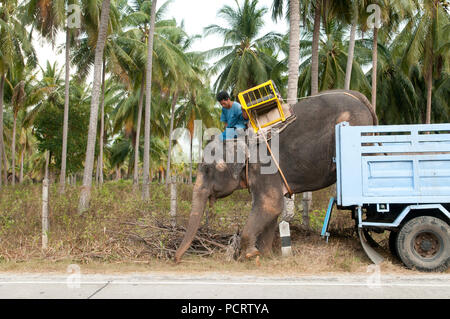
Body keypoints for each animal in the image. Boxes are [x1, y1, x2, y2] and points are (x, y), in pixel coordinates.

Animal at [174, 89, 378, 262]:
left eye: (208, 169)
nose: (175, 260)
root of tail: (361, 97)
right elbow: (274, 211)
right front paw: (266, 255)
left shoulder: (263, 167)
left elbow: (270, 205)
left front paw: (250, 255)